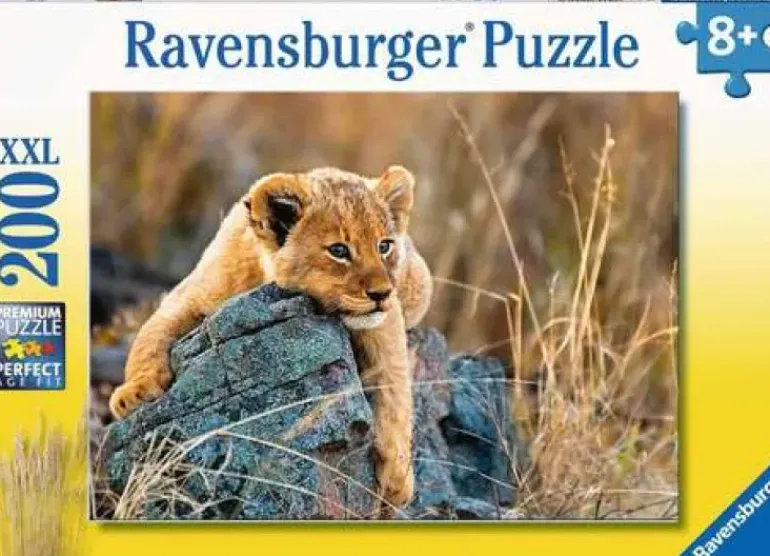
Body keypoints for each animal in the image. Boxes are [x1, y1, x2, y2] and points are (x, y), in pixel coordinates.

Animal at [108, 166, 433, 510]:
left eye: (384, 246)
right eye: (339, 251)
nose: (382, 293)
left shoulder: (385, 322)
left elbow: (395, 388)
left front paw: (398, 476)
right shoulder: (189, 295)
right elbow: (149, 335)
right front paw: (134, 393)